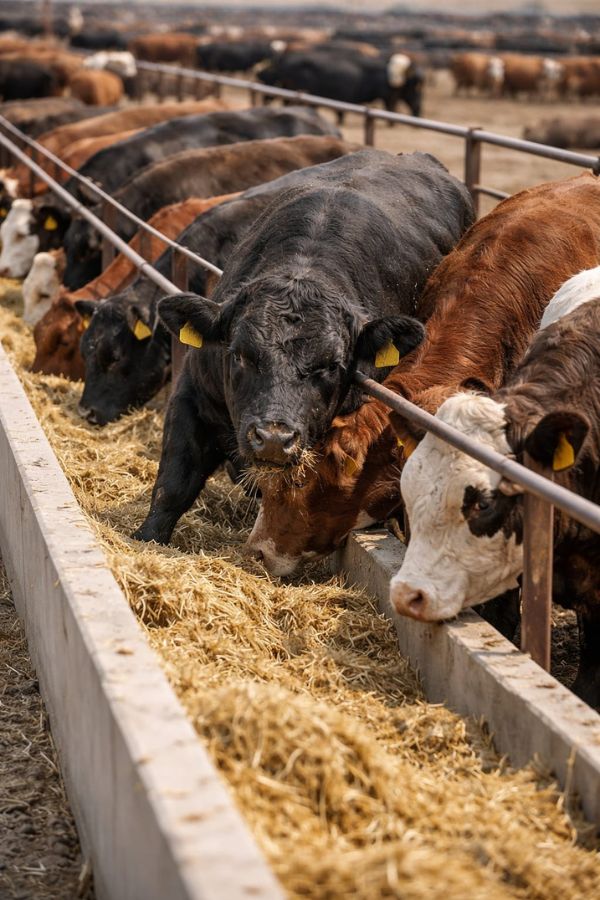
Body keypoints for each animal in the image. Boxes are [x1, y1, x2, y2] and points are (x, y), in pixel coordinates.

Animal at [131, 149, 473, 546]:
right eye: (240, 355)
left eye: (331, 365)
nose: (273, 438)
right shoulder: (193, 393)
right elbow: (173, 482)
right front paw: (146, 537)